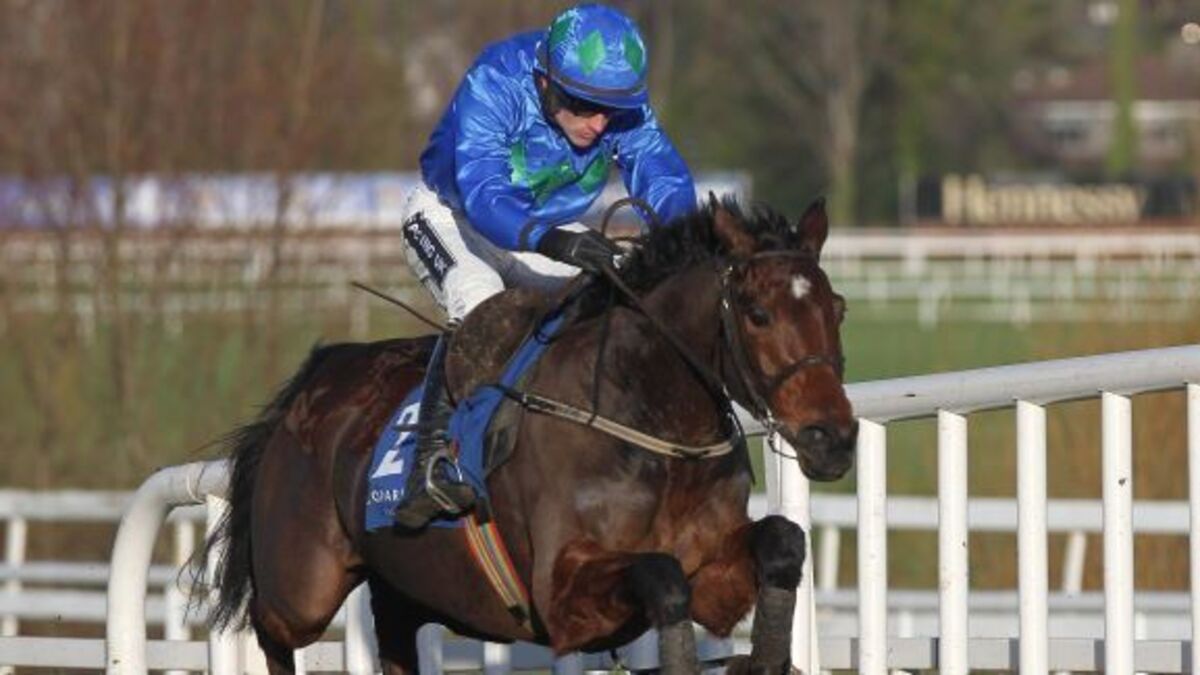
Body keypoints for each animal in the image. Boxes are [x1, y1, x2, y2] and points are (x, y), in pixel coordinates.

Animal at [203, 196, 857, 675]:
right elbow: (661, 575)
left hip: (406, 584)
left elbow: (781, 541)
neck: (647, 417)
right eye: (758, 315)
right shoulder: (560, 594)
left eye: (838, 308)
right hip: (301, 587)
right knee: (269, 623)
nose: (832, 437)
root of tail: (317, 376)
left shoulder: (715, 572)